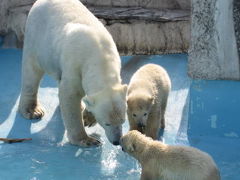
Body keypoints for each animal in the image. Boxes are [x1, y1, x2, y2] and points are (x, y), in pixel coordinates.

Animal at [18, 0, 127, 146]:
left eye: (123, 121)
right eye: (107, 123)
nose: (116, 141)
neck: (99, 56)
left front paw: (88, 118)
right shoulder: (75, 66)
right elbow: (69, 95)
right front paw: (88, 140)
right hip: (37, 38)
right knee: (32, 72)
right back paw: (32, 110)